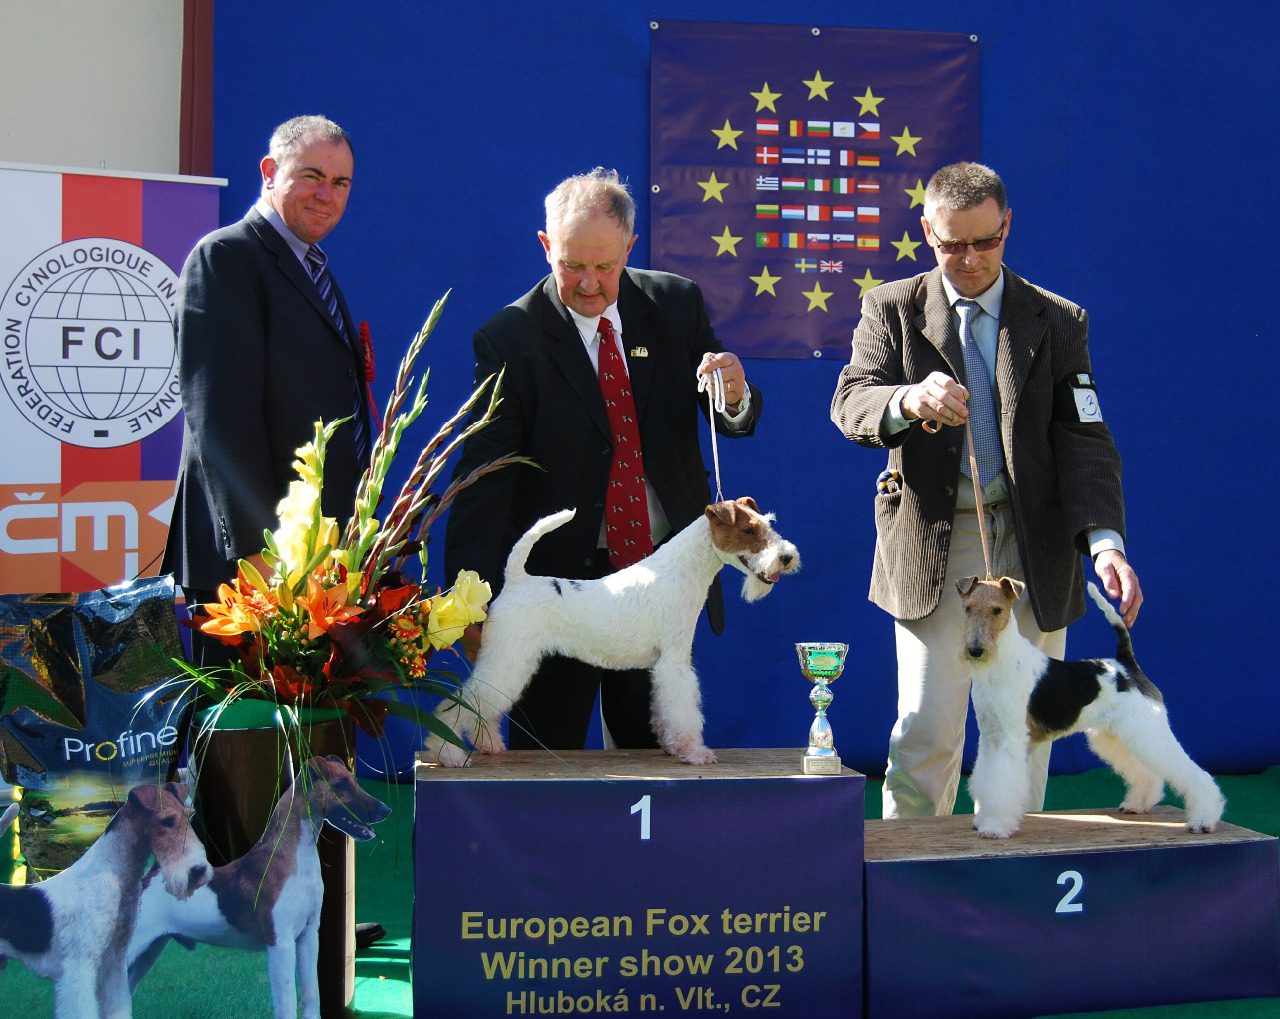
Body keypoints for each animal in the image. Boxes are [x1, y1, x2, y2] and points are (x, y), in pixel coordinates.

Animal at [0, 782, 209, 1019]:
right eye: (166, 821)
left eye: (190, 816)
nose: (198, 871)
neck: (113, 876)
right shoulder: (79, 966)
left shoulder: (114, 961)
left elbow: (117, 1004)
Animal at [126, 755, 389, 1019]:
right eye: (340, 785)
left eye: (354, 780)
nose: (386, 810)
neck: (297, 858)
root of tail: (151, 877)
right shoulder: (281, 943)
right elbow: (287, 1001)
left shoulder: (307, 937)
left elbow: (311, 994)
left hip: (148, 952)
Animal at [427, 497, 800, 767]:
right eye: (749, 531)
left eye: (766, 525)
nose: (786, 557)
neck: (684, 570)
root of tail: (517, 579)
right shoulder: (675, 662)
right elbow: (684, 711)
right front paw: (694, 752)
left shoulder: (664, 664)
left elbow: (665, 710)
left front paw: (671, 745)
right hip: (507, 660)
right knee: (457, 705)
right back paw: (448, 754)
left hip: (510, 663)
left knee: (482, 707)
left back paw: (490, 744)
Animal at [958, 576, 1225, 839]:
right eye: (968, 608)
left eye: (997, 610)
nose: (975, 650)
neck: (998, 664)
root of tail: (1126, 665)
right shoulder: (990, 736)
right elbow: (985, 780)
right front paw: (982, 819)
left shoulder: (1010, 739)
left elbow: (1001, 788)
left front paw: (995, 827)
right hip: (1117, 735)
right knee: (1147, 774)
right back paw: (1137, 804)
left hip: (1146, 732)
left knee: (1195, 774)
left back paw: (1202, 820)